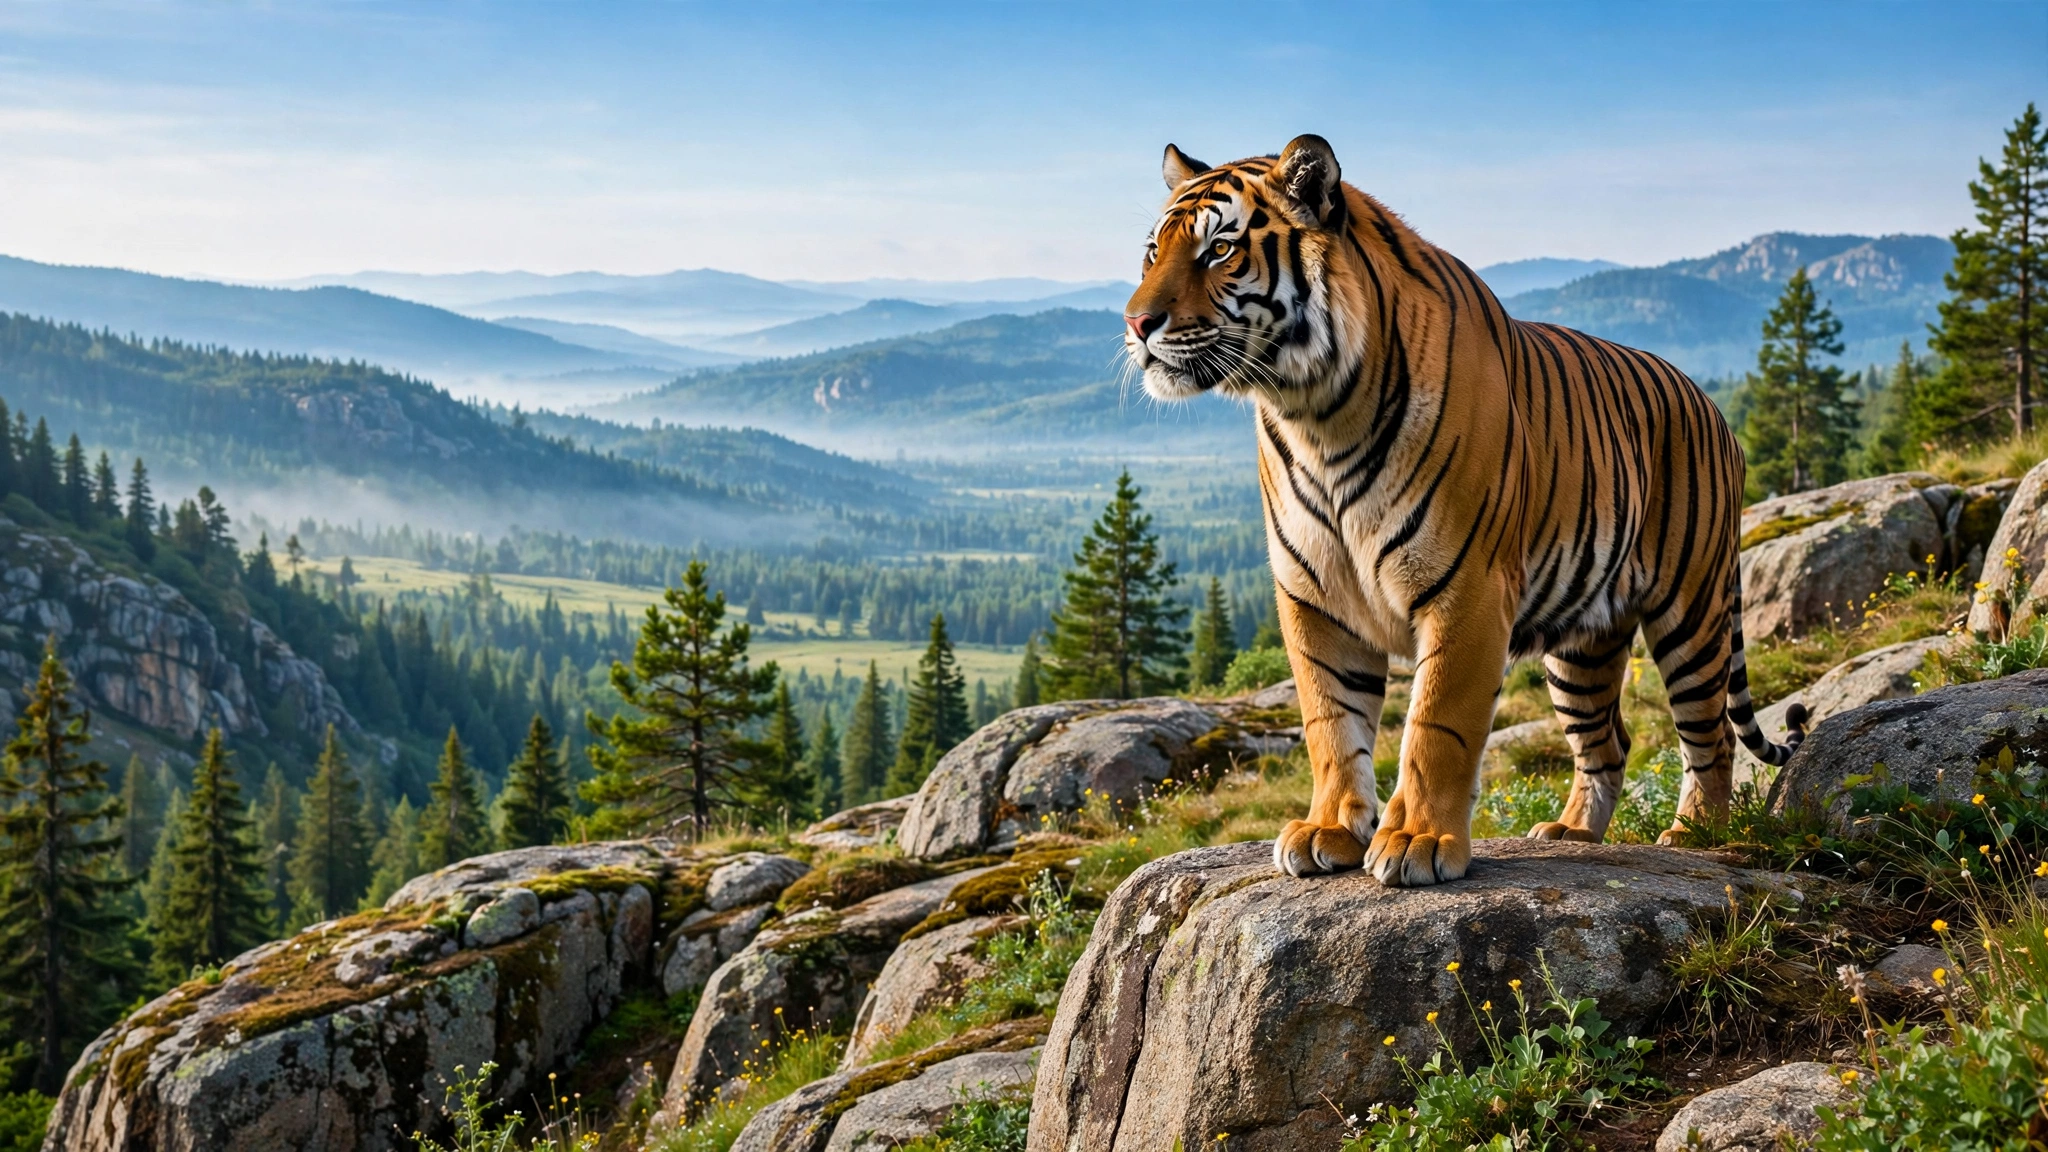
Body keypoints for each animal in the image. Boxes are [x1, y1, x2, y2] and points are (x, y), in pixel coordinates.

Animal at [1123, 135, 1807, 887]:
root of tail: (1711, 404)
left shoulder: (1468, 589)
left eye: (1219, 249)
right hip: (1583, 641)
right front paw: (1329, 829)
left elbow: (1435, 725)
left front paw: (1417, 841)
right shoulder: (1314, 598)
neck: (1313, 412)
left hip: (1692, 610)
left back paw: (1694, 833)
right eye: (1152, 253)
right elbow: (1330, 723)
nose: (1137, 323)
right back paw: (1570, 832)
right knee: (1608, 740)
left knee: (1709, 733)